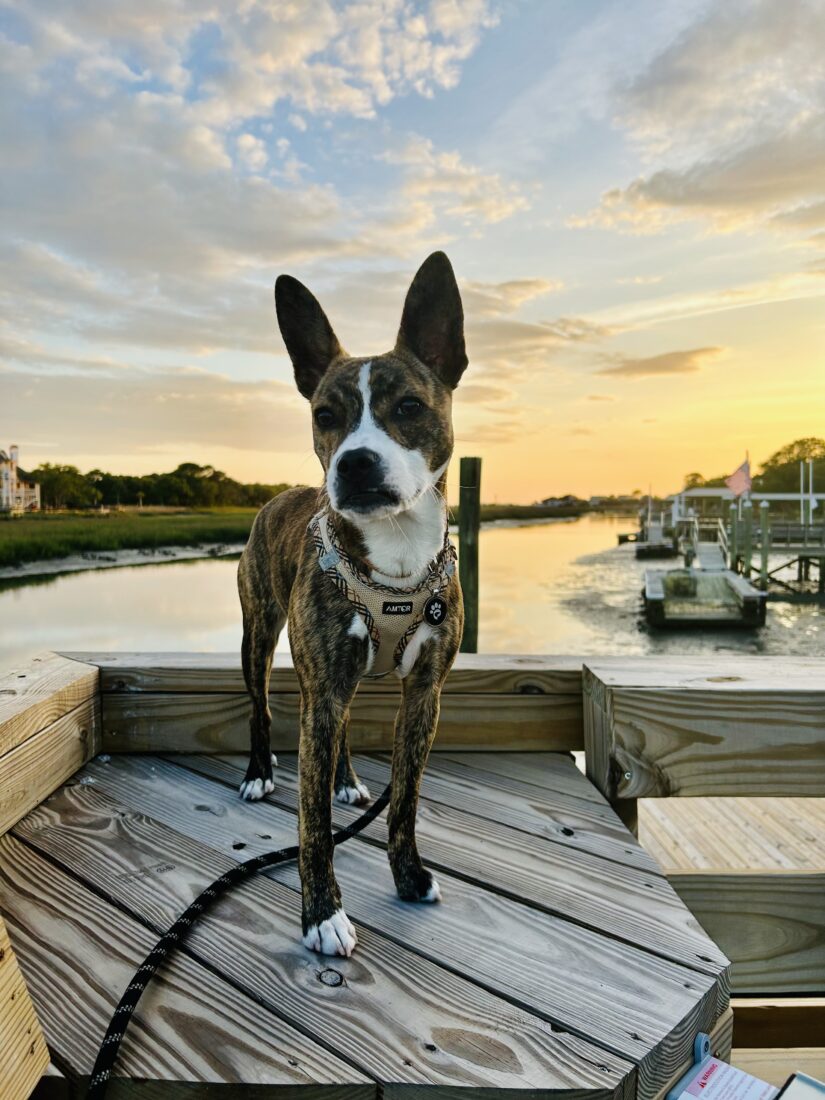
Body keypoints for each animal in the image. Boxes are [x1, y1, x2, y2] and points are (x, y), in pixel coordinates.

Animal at [238, 251, 468, 954]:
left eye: (410, 406)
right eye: (324, 415)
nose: (355, 462)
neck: (396, 556)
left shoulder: (425, 695)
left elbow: (406, 802)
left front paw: (409, 874)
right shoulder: (320, 687)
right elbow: (310, 823)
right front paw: (321, 912)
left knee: (338, 731)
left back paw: (344, 780)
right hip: (260, 635)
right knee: (263, 708)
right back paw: (259, 770)